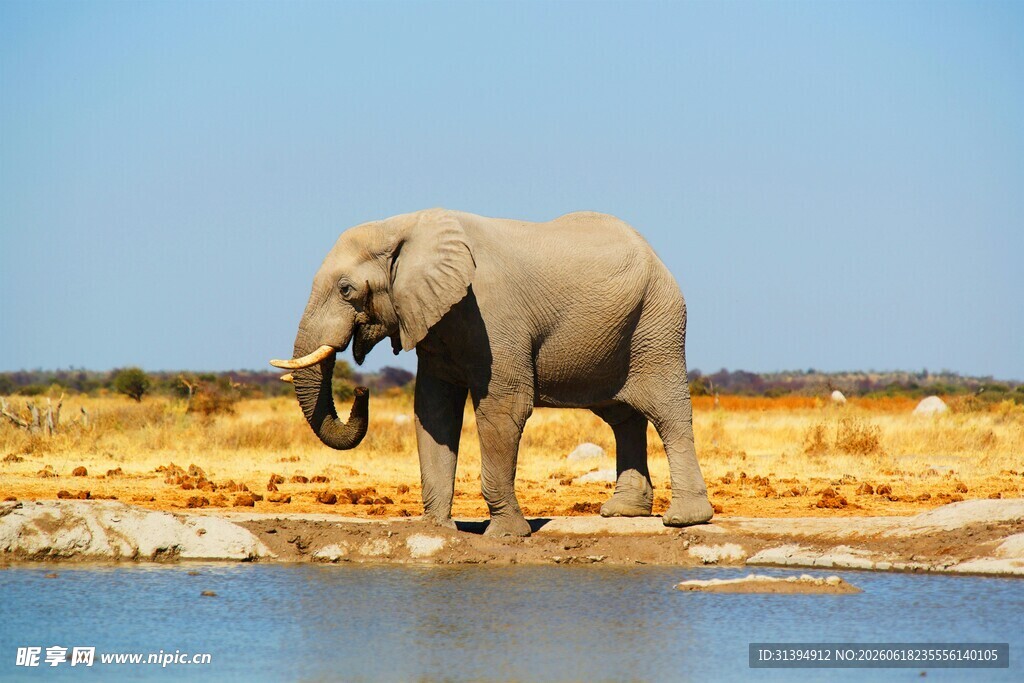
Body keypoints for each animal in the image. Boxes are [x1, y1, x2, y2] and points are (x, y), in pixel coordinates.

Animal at [271, 208, 713, 536]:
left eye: (346, 289)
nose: (362, 391)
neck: (403, 226)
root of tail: (655, 254)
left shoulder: (492, 315)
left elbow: (503, 410)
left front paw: (507, 535)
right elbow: (433, 411)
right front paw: (438, 530)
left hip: (658, 324)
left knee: (668, 413)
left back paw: (684, 520)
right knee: (623, 417)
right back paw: (622, 512)